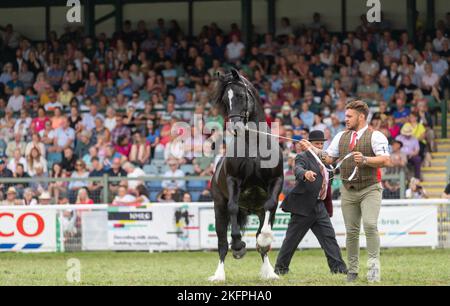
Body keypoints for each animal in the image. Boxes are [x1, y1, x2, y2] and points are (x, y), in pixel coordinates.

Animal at [208, 69, 284, 282]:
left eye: (241, 95)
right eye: (225, 100)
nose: (235, 128)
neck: (254, 145)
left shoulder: (276, 181)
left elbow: (270, 206)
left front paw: (264, 239)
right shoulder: (234, 181)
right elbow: (233, 208)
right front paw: (238, 245)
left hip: (258, 211)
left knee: (262, 245)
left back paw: (269, 272)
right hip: (219, 209)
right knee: (222, 245)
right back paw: (219, 273)